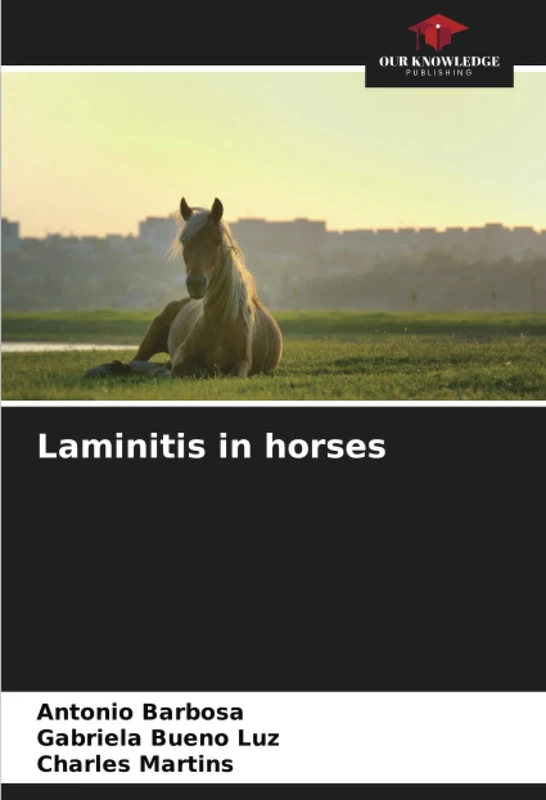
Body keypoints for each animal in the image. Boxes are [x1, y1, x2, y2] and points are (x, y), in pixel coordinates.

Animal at [86, 197, 283, 380]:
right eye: (184, 242)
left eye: (217, 241)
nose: (195, 284)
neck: (221, 322)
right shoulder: (181, 357)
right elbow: (187, 370)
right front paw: (160, 371)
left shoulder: (242, 365)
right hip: (153, 334)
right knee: (133, 362)